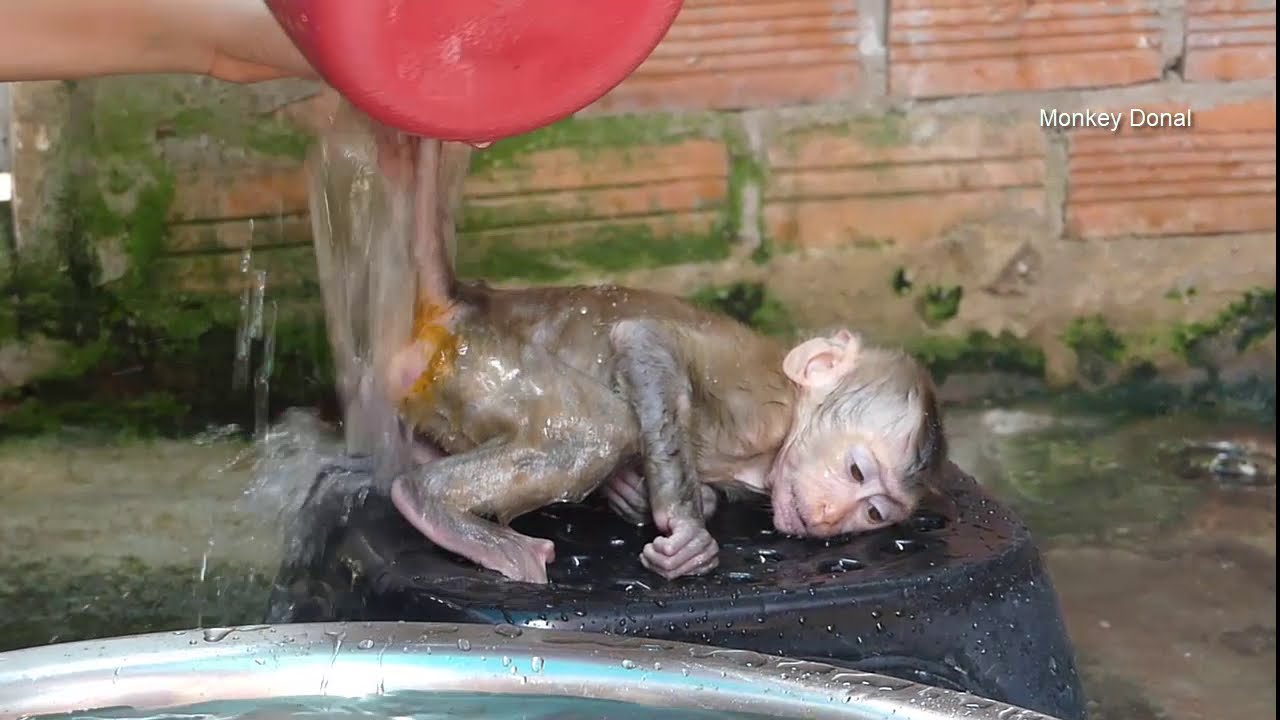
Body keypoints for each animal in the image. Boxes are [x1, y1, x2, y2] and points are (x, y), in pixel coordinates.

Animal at [368, 135, 949, 586]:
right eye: (856, 471)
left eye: (873, 512)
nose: (830, 517)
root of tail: (465, 305)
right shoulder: (758, 405)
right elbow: (646, 340)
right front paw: (685, 527)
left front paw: (636, 493)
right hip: (485, 367)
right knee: (601, 427)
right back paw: (428, 500)